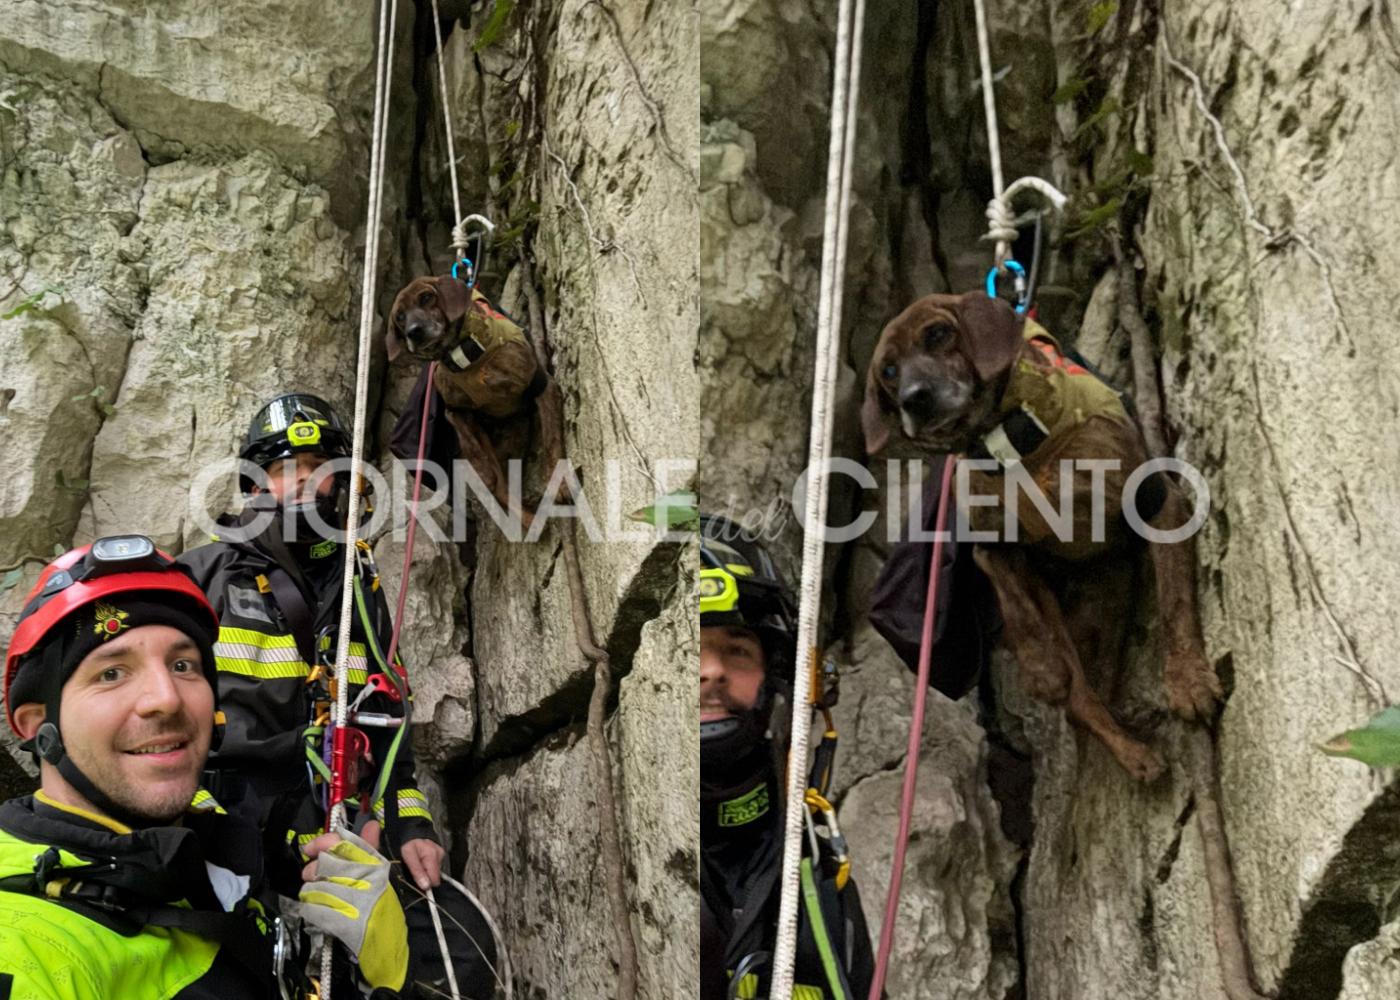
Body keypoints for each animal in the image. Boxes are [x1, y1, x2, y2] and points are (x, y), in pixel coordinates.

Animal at [386, 273, 565, 521]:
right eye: (400, 317)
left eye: (426, 297)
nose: (414, 331)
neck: (466, 357)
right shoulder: (455, 412)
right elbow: (484, 467)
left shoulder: (542, 386)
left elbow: (551, 441)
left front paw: (559, 483)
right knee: (500, 488)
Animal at [868, 292, 1220, 784]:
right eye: (888, 371)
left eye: (937, 333)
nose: (913, 399)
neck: (1016, 448)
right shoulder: (992, 548)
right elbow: (1019, 605)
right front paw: (1041, 666)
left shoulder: (1158, 504)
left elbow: (1175, 602)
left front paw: (1187, 679)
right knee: (1078, 700)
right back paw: (1131, 750)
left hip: (1107, 611)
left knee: (1091, 693)